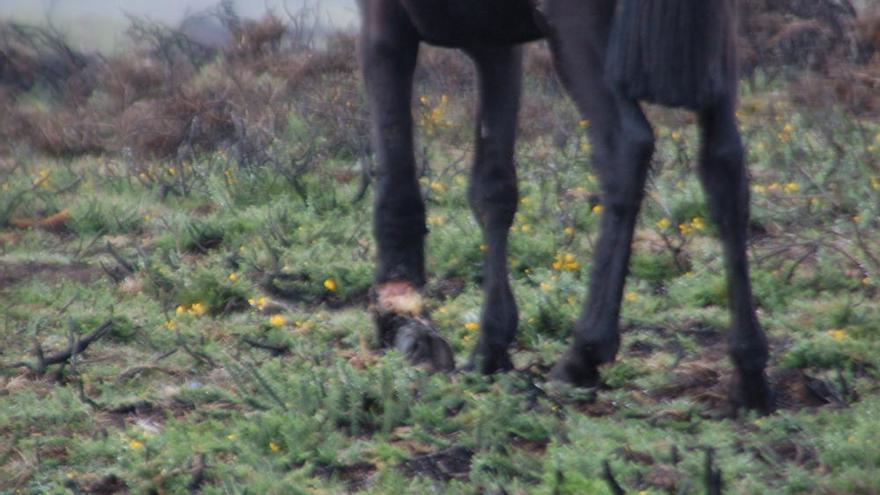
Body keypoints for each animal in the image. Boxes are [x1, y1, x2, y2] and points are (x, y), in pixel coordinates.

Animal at [358, 0, 768, 412]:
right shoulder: (494, 42)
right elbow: (493, 189)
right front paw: (491, 346)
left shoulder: (386, 21)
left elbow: (395, 174)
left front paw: (404, 320)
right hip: (713, 45)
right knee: (725, 166)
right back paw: (750, 370)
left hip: (580, 31)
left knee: (627, 146)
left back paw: (583, 355)